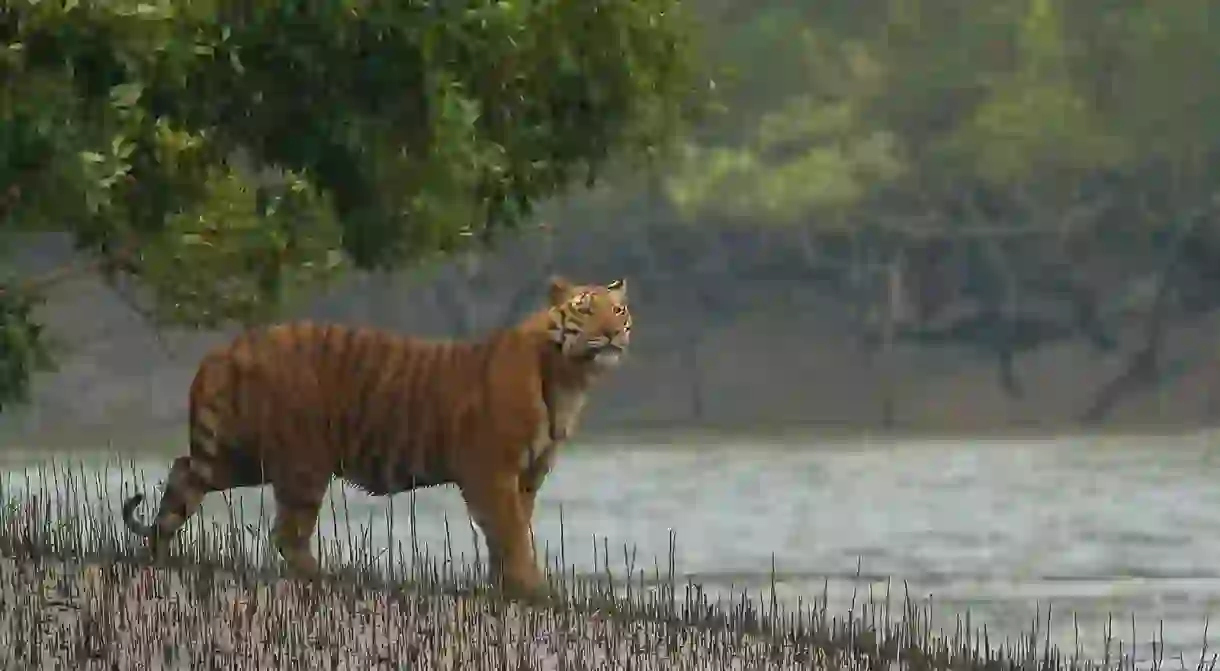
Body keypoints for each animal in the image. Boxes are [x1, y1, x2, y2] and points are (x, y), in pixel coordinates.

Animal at [120, 275, 634, 602]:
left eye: (618, 309)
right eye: (586, 309)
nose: (612, 333)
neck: (571, 378)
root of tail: (226, 348)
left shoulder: (527, 476)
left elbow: (511, 532)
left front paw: (508, 587)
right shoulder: (493, 471)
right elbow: (510, 532)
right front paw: (532, 589)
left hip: (240, 456)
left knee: (183, 475)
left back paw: (157, 553)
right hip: (303, 462)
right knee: (286, 532)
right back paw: (328, 578)